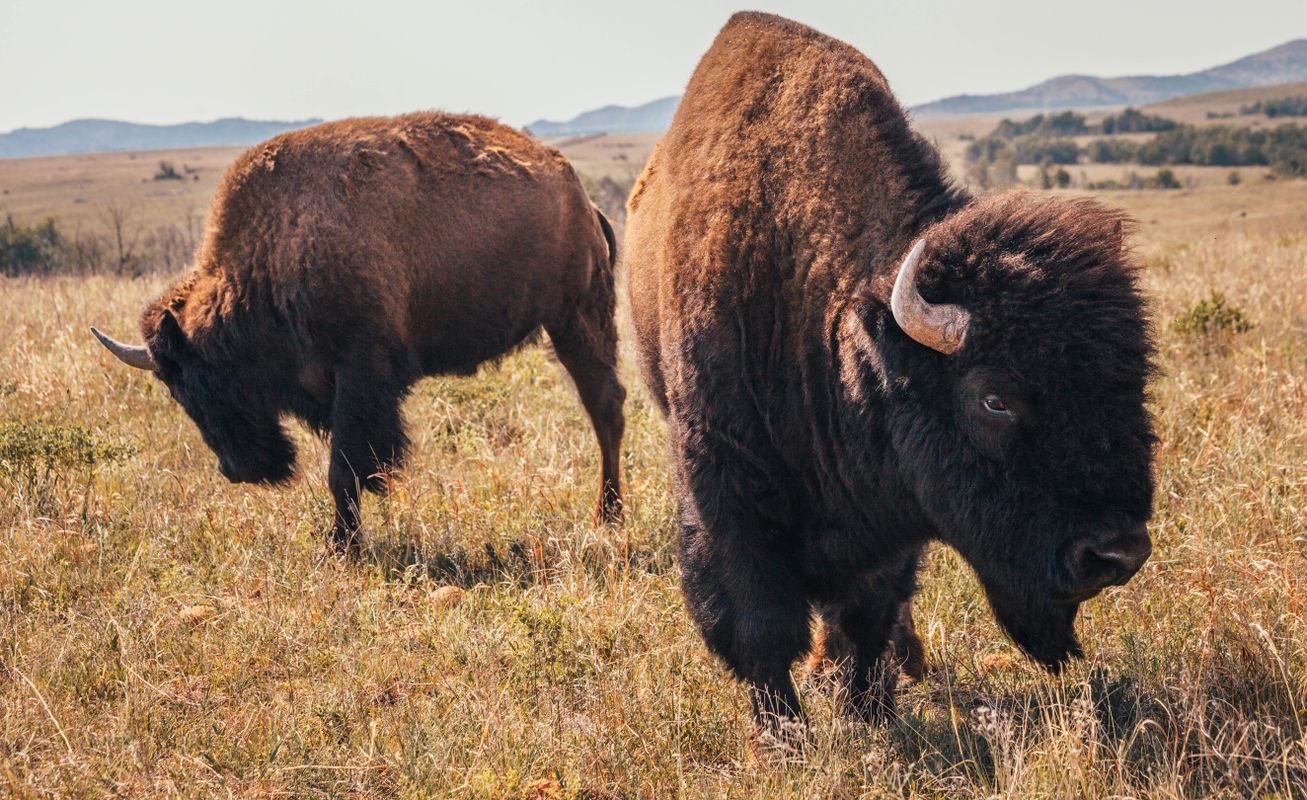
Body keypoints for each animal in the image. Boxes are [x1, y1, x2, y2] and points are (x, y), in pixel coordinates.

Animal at [92, 112, 622, 549]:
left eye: (203, 384)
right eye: (174, 392)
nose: (236, 470)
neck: (273, 254)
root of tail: (585, 203)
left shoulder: (361, 375)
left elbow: (343, 470)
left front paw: (342, 545)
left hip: (577, 320)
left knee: (605, 409)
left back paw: (607, 516)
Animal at [622, 10, 1155, 737]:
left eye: (1133, 381)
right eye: (993, 400)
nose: (1116, 553)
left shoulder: (894, 505)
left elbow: (870, 609)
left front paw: (869, 710)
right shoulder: (724, 483)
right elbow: (759, 622)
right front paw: (784, 733)